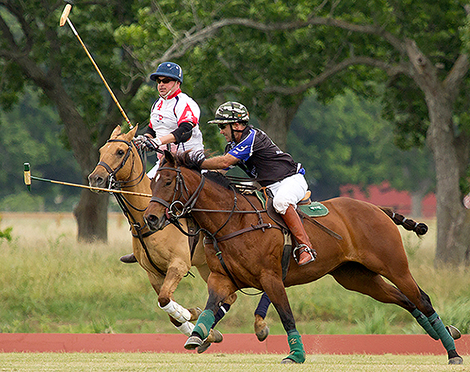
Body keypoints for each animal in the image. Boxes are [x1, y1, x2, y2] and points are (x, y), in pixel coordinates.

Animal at [88, 125, 258, 352]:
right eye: (101, 150)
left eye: (120, 152)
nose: (95, 179)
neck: (144, 217)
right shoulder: (153, 273)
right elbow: (168, 310)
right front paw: (204, 332)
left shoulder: (178, 264)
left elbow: (165, 299)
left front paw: (191, 313)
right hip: (207, 266)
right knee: (230, 295)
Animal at [145, 150, 464, 364]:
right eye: (153, 181)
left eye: (169, 182)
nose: (150, 218)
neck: (233, 220)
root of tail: (378, 208)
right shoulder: (222, 277)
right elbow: (211, 308)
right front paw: (196, 335)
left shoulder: (271, 277)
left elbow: (286, 314)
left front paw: (296, 355)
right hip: (357, 277)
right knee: (405, 299)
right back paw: (443, 333)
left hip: (394, 265)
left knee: (422, 298)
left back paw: (452, 351)